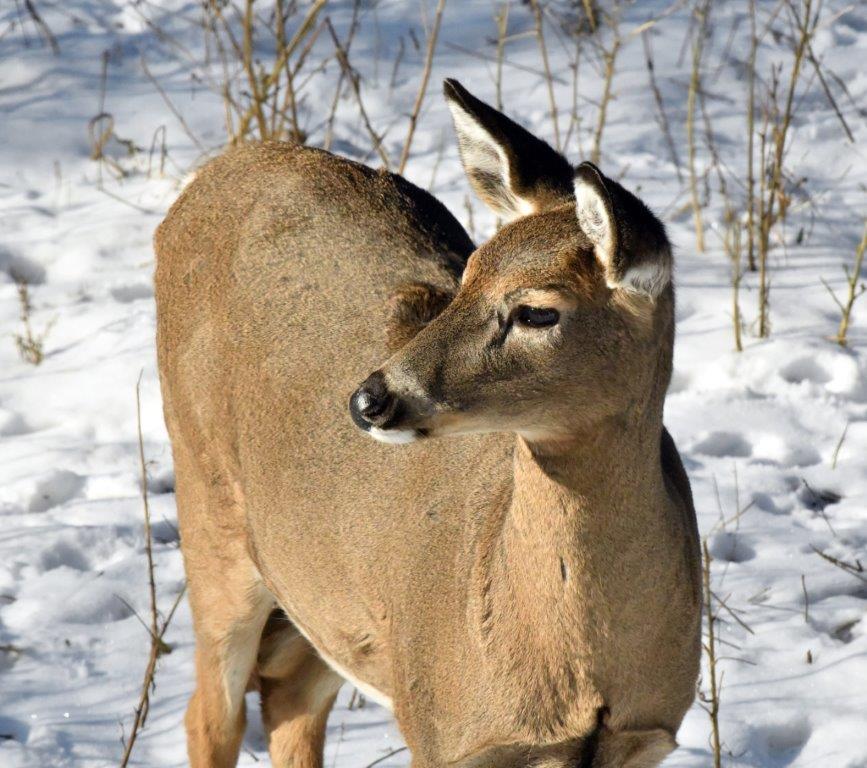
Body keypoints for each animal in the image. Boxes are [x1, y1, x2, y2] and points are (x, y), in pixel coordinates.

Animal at [154, 79, 701, 768]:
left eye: (537, 312)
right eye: (467, 278)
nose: (370, 398)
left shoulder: (645, 738)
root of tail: (212, 173)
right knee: (210, 714)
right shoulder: (443, 728)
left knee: (290, 701)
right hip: (208, 507)